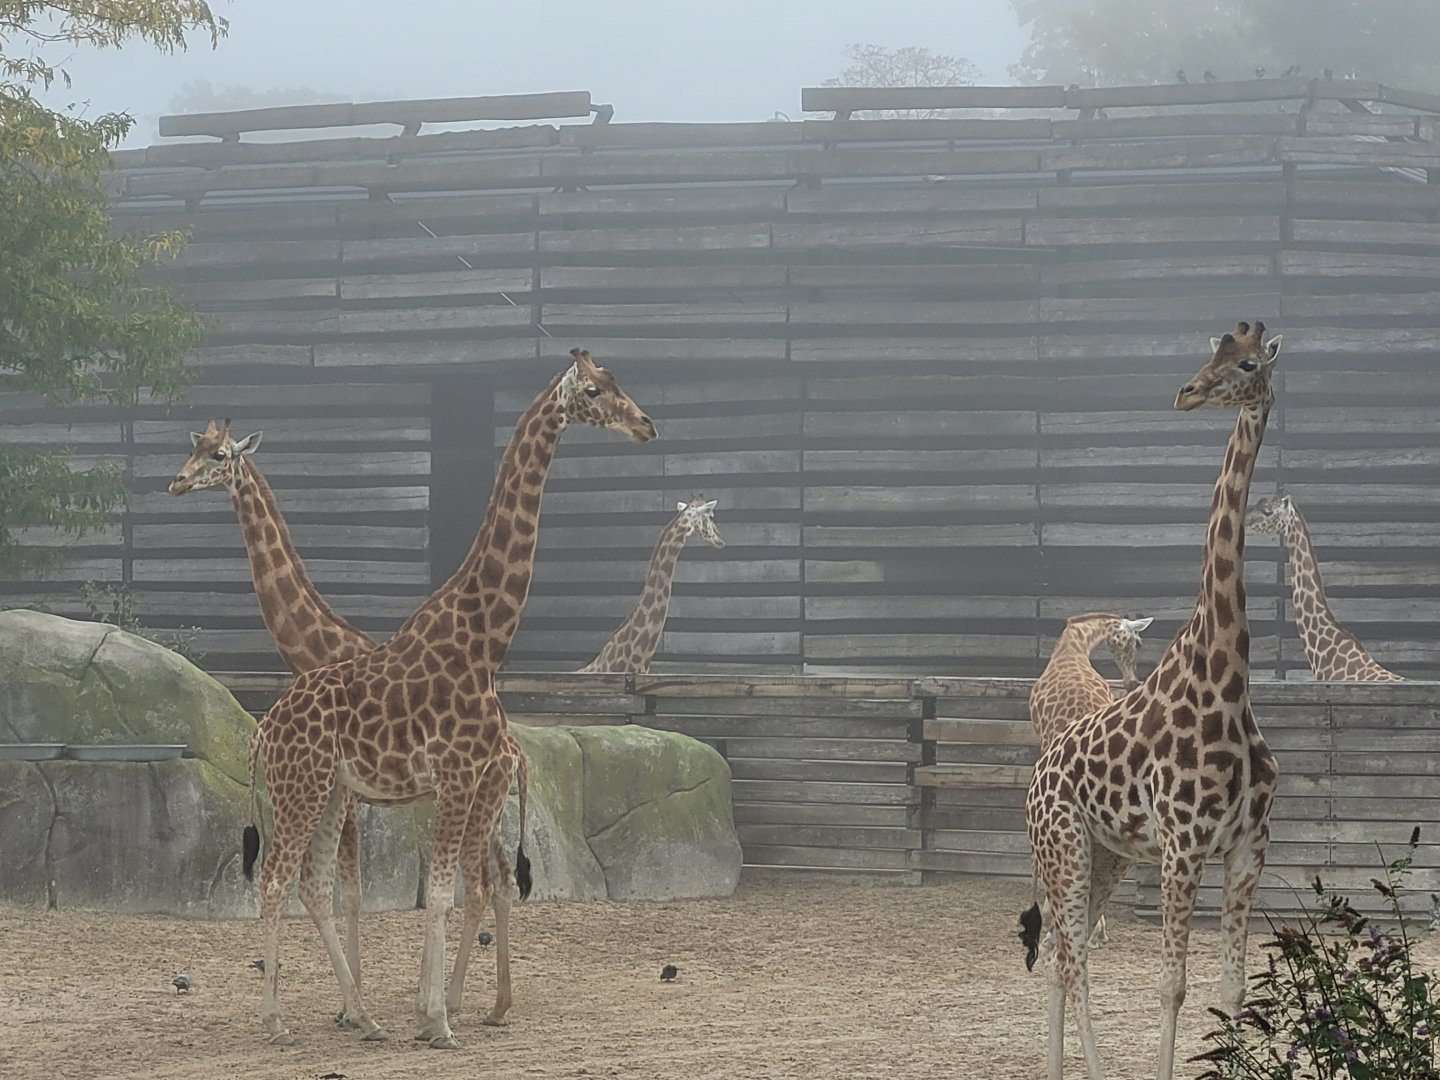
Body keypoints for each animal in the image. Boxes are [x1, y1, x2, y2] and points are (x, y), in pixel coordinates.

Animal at [168, 420, 530, 1029]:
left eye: (218, 455)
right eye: (190, 450)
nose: (177, 482)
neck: (315, 648)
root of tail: (518, 749)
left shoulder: (351, 791)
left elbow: (352, 891)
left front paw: (355, 1006)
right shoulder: (352, 790)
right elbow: (345, 889)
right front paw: (354, 1005)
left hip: (478, 794)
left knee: (484, 882)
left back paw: (457, 1003)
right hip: (483, 800)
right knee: (500, 879)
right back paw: (494, 1003)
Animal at [241, 348, 655, 1049]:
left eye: (619, 382)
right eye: (597, 391)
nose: (646, 425)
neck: (486, 640)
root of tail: (264, 727)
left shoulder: (463, 776)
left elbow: (451, 892)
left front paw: (431, 1013)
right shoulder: (459, 773)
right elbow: (439, 894)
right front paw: (436, 1020)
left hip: (329, 792)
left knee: (313, 884)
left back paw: (365, 1016)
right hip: (301, 789)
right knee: (274, 881)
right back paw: (275, 1020)